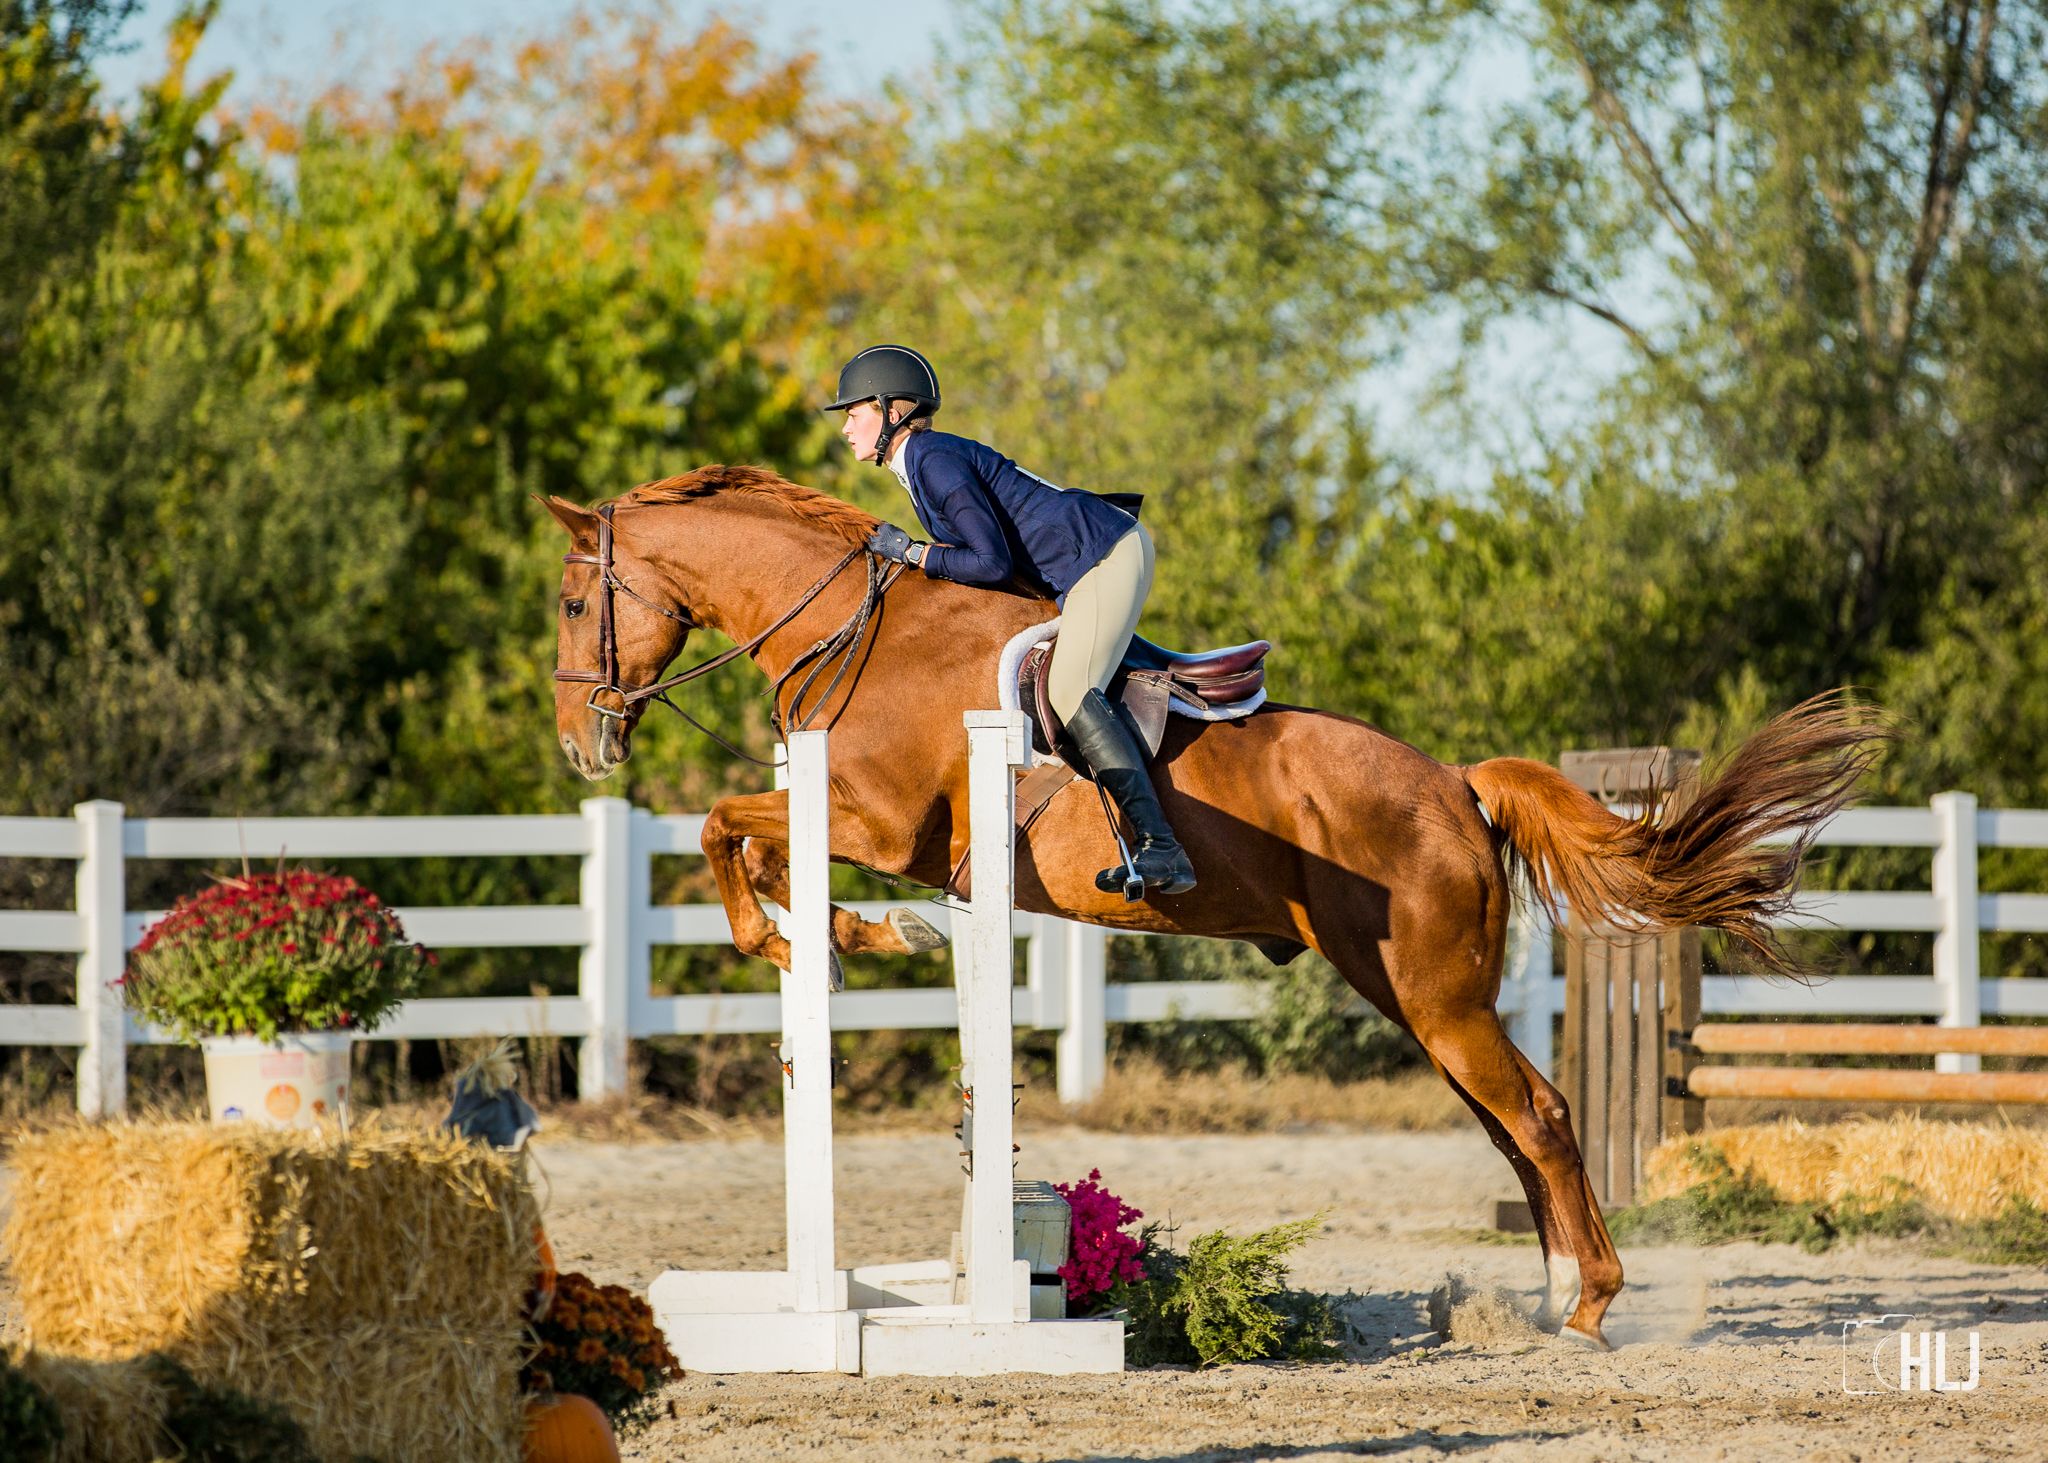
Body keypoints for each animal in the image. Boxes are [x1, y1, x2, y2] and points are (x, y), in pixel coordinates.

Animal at [543, 464, 1886, 1348]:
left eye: (567, 603)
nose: (579, 745)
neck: (854, 629)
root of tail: (1453, 781)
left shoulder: (877, 825)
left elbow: (723, 824)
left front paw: (814, 933)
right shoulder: (871, 828)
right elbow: (745, 839)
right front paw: (823, 934)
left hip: (1434, 992)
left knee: (1541, 1113)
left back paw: (1588, 1301)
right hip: (1410, 991)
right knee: (1511, 1122)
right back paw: (1554, 1289)